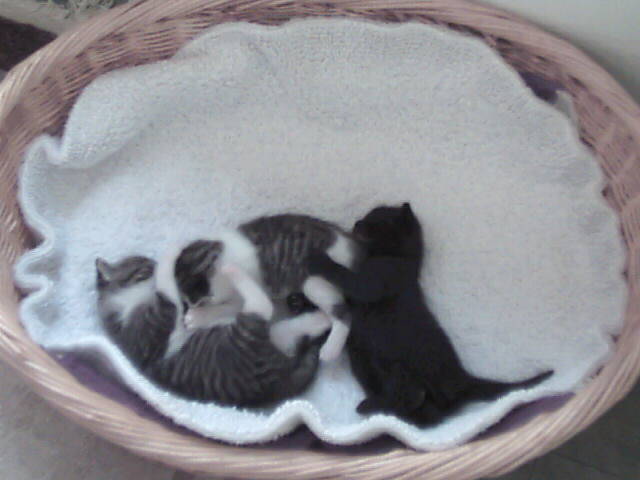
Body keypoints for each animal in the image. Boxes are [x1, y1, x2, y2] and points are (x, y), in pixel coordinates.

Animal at [95, 255, 329, 406]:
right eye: (146, 267)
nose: (155, 262)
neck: (127, 300)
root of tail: (276, 383)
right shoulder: (149, 328)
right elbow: (167, 301)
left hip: (273, 333)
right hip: (248, 337)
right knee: (263, 307)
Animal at [173, 214, 362, 362]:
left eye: (194, 299)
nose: (190, 305)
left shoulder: (243, 293)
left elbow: (226, 307)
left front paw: (198, 316)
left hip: (313, 281)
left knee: (344, 312)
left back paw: (331, 349)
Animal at [307, 203, 553, 426]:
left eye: (376, 220)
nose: (357, 222)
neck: (401, 258)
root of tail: (463, 378)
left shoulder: (377, 280)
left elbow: (344, 276)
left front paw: (317, 258)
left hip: (398, 368)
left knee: (414, 399)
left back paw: (373, 406)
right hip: (365, 364)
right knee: (427, 411)